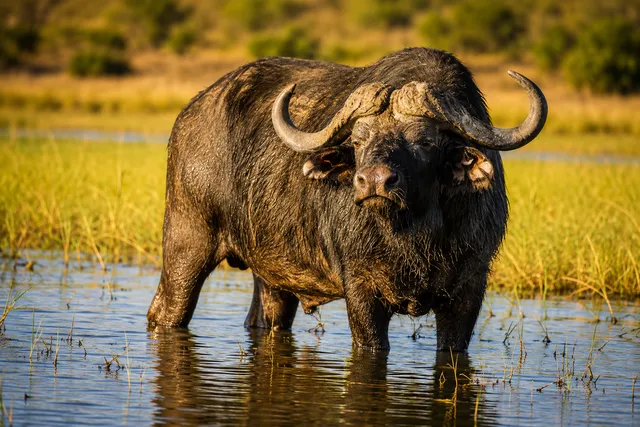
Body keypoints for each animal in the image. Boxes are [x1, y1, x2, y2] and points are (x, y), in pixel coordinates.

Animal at [147, 47, 547, 351]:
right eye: (357, 140)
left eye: (425, 140)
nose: (374, 182)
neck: (413, 234)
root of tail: (189, 114)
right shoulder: (361, 291)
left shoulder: (468, 292)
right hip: (186, 242)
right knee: (165, 310)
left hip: (272, 276)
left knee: (264, 318)